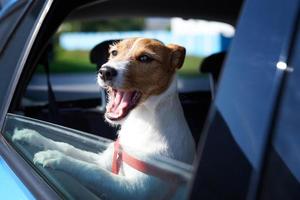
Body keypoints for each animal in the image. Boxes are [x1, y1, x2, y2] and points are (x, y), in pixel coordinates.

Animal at [12, 38, 197, 200]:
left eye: (145, 58)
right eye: (114, 52)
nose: (105, 71)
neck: (141, 123)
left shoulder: (135, 191)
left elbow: (93, 171)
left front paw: (56, 158)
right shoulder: (103, 160)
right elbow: (69, 147)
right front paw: (32, 136)